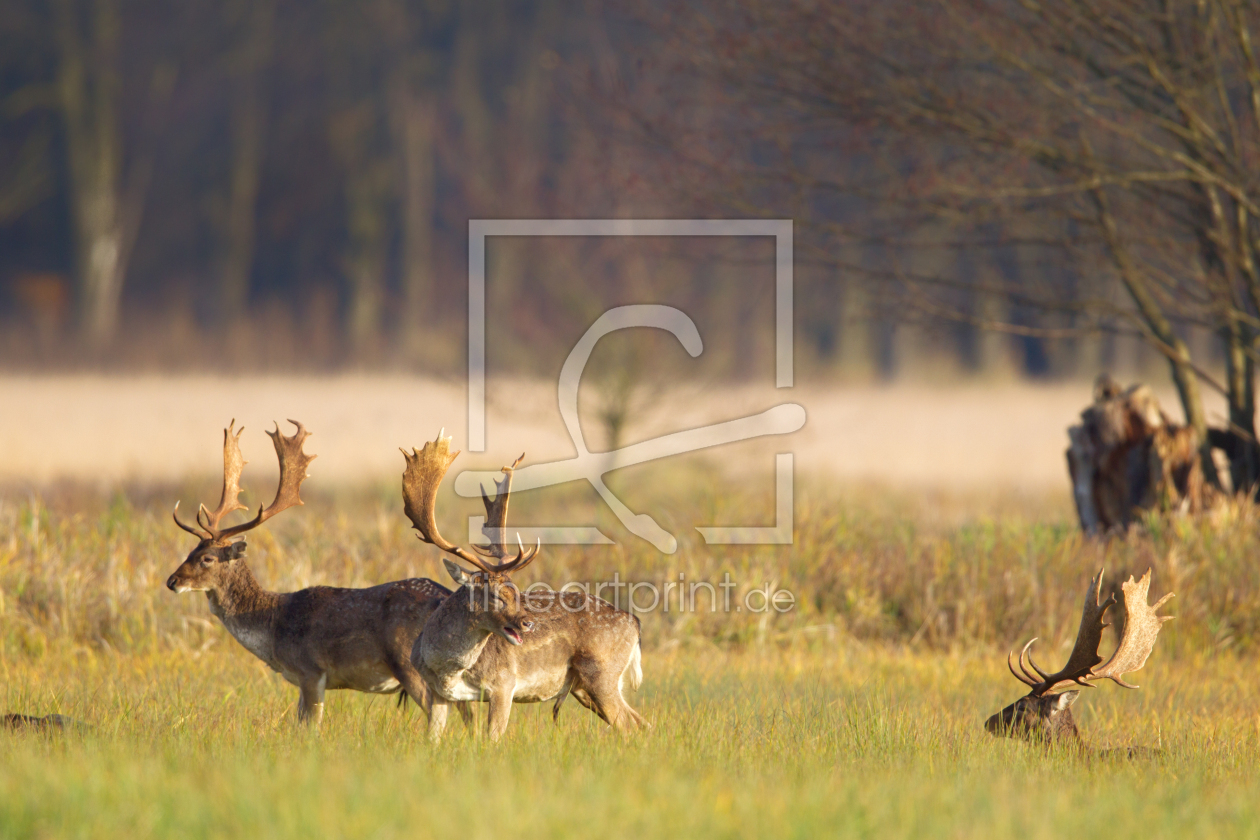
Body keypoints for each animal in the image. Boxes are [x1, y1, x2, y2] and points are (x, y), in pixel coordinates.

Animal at [165, 423, 466, 725]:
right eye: (191, 550)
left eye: (207, 558)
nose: (172, 581)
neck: (273, 627)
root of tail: (445, 597)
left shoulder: (310, 670)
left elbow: (311, 725)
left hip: (410, 662)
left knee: (439, 712)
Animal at [400, 433, 650, 740]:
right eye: (495, 595)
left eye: (517, 592)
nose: (528, 623)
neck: (447, 667)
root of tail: (635, 623)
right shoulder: (438, 693)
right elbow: (432, 740)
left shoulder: (504, 684)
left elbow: (492, 739)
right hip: (584, 687)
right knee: (641, 723)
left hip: (601, 675)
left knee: (629, 724)